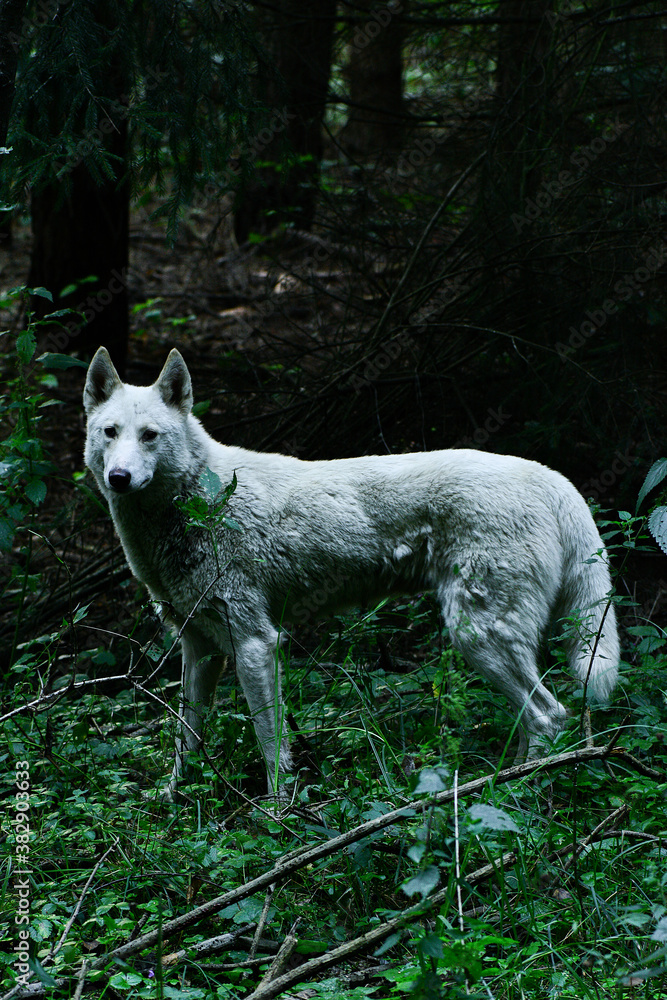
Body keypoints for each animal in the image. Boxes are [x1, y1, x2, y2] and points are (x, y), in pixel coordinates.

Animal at [83, 347, 619, 798]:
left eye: (150, 435)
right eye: (110, 432)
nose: (119, 478)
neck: (196, 505)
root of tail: (550, 476)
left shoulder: (256, 643)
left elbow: (270, 745)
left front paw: (275, 818)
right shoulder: (199, 650)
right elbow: (186, 744)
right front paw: (173, 805)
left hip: (476, 637)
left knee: (550, 717)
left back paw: (516, 796)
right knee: (537, 721)